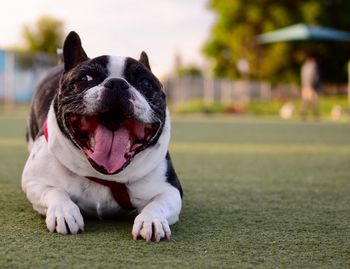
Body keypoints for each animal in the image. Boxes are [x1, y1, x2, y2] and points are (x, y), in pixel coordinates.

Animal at [21, 31, 183, 241]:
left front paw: (151, 220)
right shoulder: (35, 182)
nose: (117, 83)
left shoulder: (170, 190)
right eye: (87, 77)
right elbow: (54, 191)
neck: (104, 175)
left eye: (146, 83)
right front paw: (64, 212)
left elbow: (158, 203)